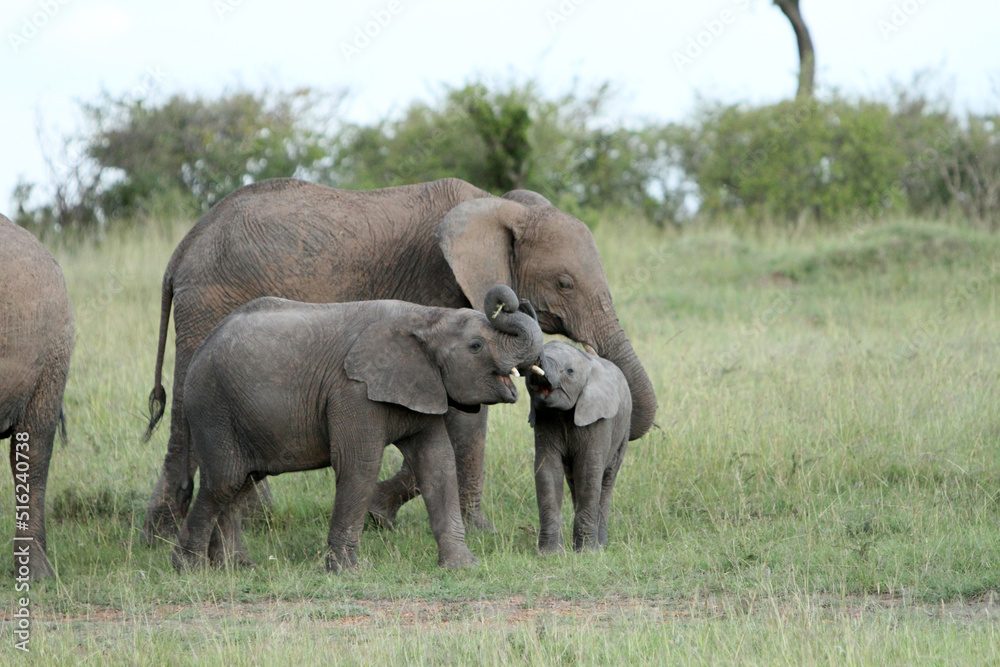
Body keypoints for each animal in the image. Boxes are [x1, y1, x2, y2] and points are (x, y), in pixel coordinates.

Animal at [171, 285, 544, 572]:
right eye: (476, 346)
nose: (514, 301)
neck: (426, 318)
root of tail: (202, 347)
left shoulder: (424, 385)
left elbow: (437, 463)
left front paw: (462, 566)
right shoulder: (352, 392)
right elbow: (359, 466)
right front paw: (346, 571)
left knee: (242, 485)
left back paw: (238, 566)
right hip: (212, 407)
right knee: (225, 481)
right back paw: (191, 568)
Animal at [526, 341, 631, 553]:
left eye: (569, 371)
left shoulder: (598, 418)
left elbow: (588, 470)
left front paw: (587, 553)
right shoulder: (544, 419)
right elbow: (547, 470)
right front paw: (550, 554)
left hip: (624, 429)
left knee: (607, 479)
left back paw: (601, 543)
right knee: (573, 479)